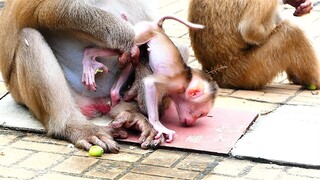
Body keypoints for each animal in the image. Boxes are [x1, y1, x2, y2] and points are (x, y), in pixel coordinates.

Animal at [0, 0, 159, 153]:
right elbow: (52, 9)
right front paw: (129, 38)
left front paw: (141, 80)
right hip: (23, 93)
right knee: (29, 37)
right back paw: (72, 125)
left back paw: (131, 112)